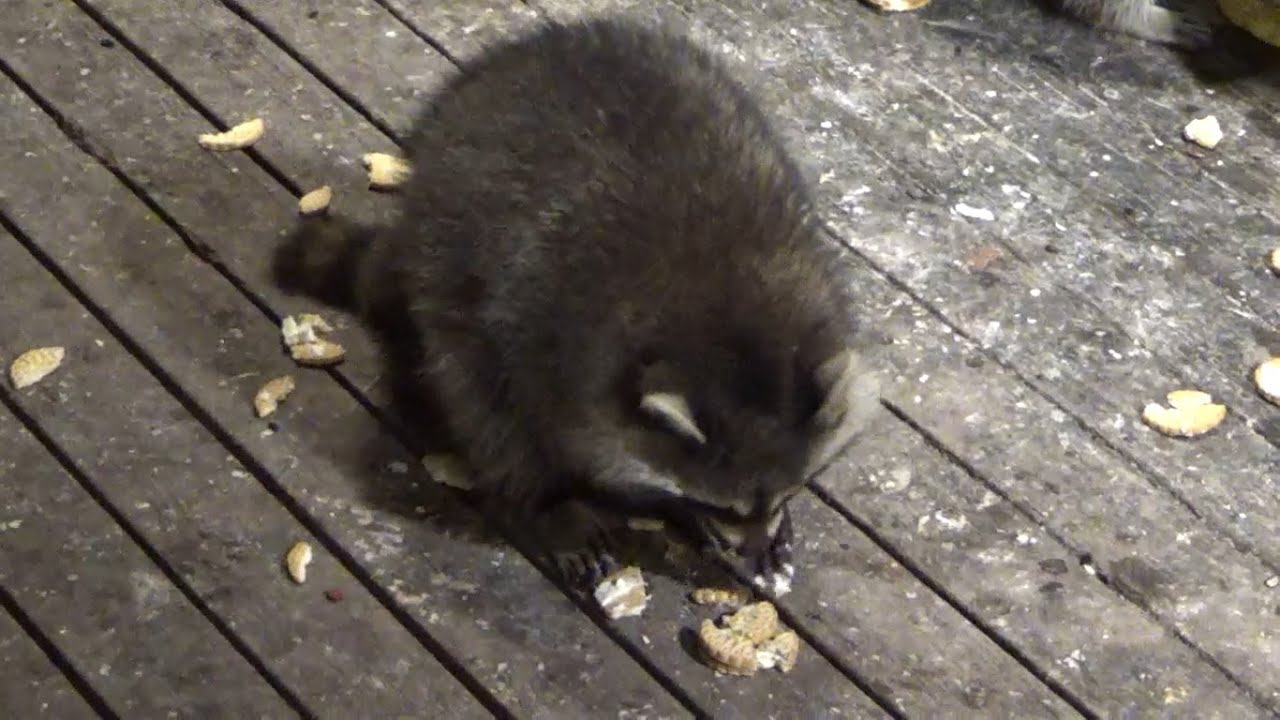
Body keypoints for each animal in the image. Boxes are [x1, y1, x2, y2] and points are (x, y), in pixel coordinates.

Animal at [274, 16, 881, 588]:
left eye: (784, 494)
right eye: (723, 505)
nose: (753, 544)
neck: (728, 324)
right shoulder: (551, 337)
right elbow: (529, 422)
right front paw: (564, 499)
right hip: (447, 254)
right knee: (475, 388)